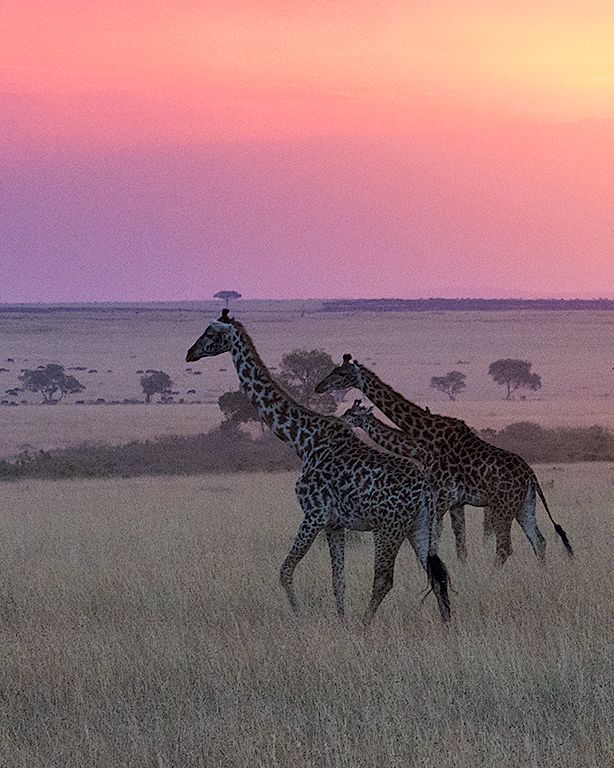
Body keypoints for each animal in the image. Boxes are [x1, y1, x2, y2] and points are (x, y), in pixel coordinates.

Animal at [185, 311, 451, 624]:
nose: (190, 353)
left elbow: (285, 571)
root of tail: (425, 491)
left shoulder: (314, 514)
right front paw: (341, 621)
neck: (302, 439)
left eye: (211, 333)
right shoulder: (334, 523)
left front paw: (299, 615)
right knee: (437, 574)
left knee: (385, 579)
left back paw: (366, 625)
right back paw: (447, 625)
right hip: (419, 527)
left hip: (389, 528)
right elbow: (339, 580)